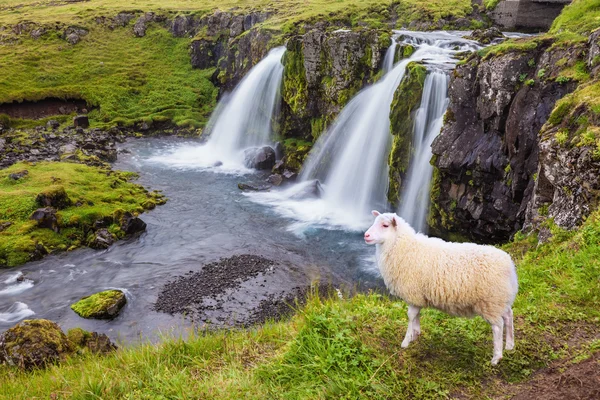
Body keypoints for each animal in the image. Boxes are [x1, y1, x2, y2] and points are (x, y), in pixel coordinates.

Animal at [364, 211, 516, 364]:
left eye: (385, 225)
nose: (366, 235)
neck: (405, 247)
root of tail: (509, 264)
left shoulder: (413, 293)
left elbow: (411, 316)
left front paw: (406, 341)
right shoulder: (418, 296)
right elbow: (416, 315)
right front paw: (415, 334)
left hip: (491, 302)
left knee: (498, 326)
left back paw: (496, 357)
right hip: (501, 299)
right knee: (508, 316)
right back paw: (509, 345)